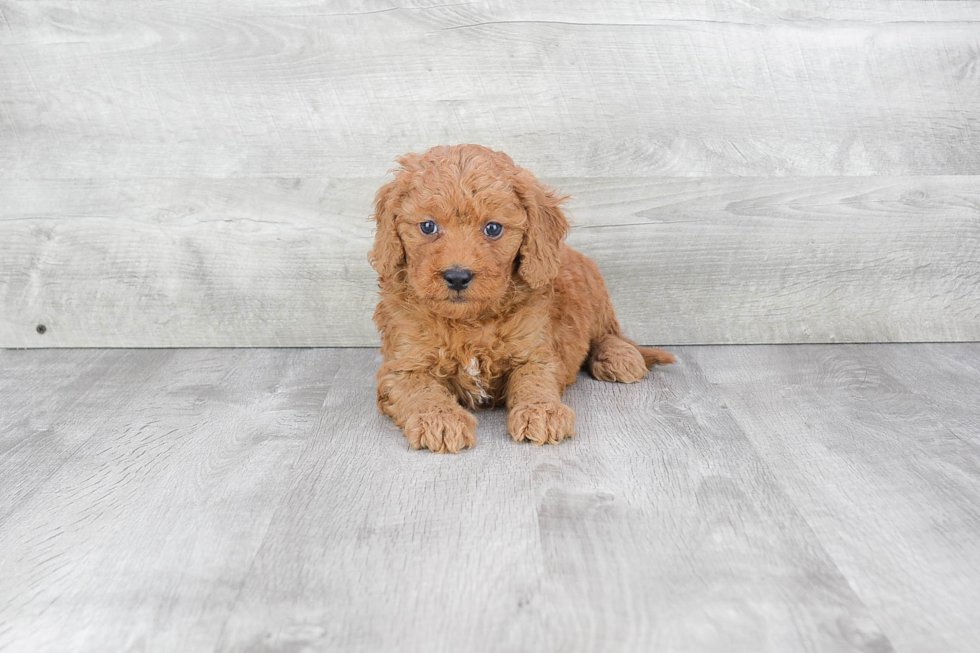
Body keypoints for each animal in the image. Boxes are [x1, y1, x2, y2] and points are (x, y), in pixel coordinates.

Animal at [368, 145, 672, 450]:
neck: (469, 322)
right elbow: (421, 389)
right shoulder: (402, 365)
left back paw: (619, 357)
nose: (457, 276)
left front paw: (541, 412)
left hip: (596, 294)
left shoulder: (536, 352)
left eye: (493, 228)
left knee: (608, 333)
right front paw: (439, 419)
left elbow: (533, 379)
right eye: (428, 227)